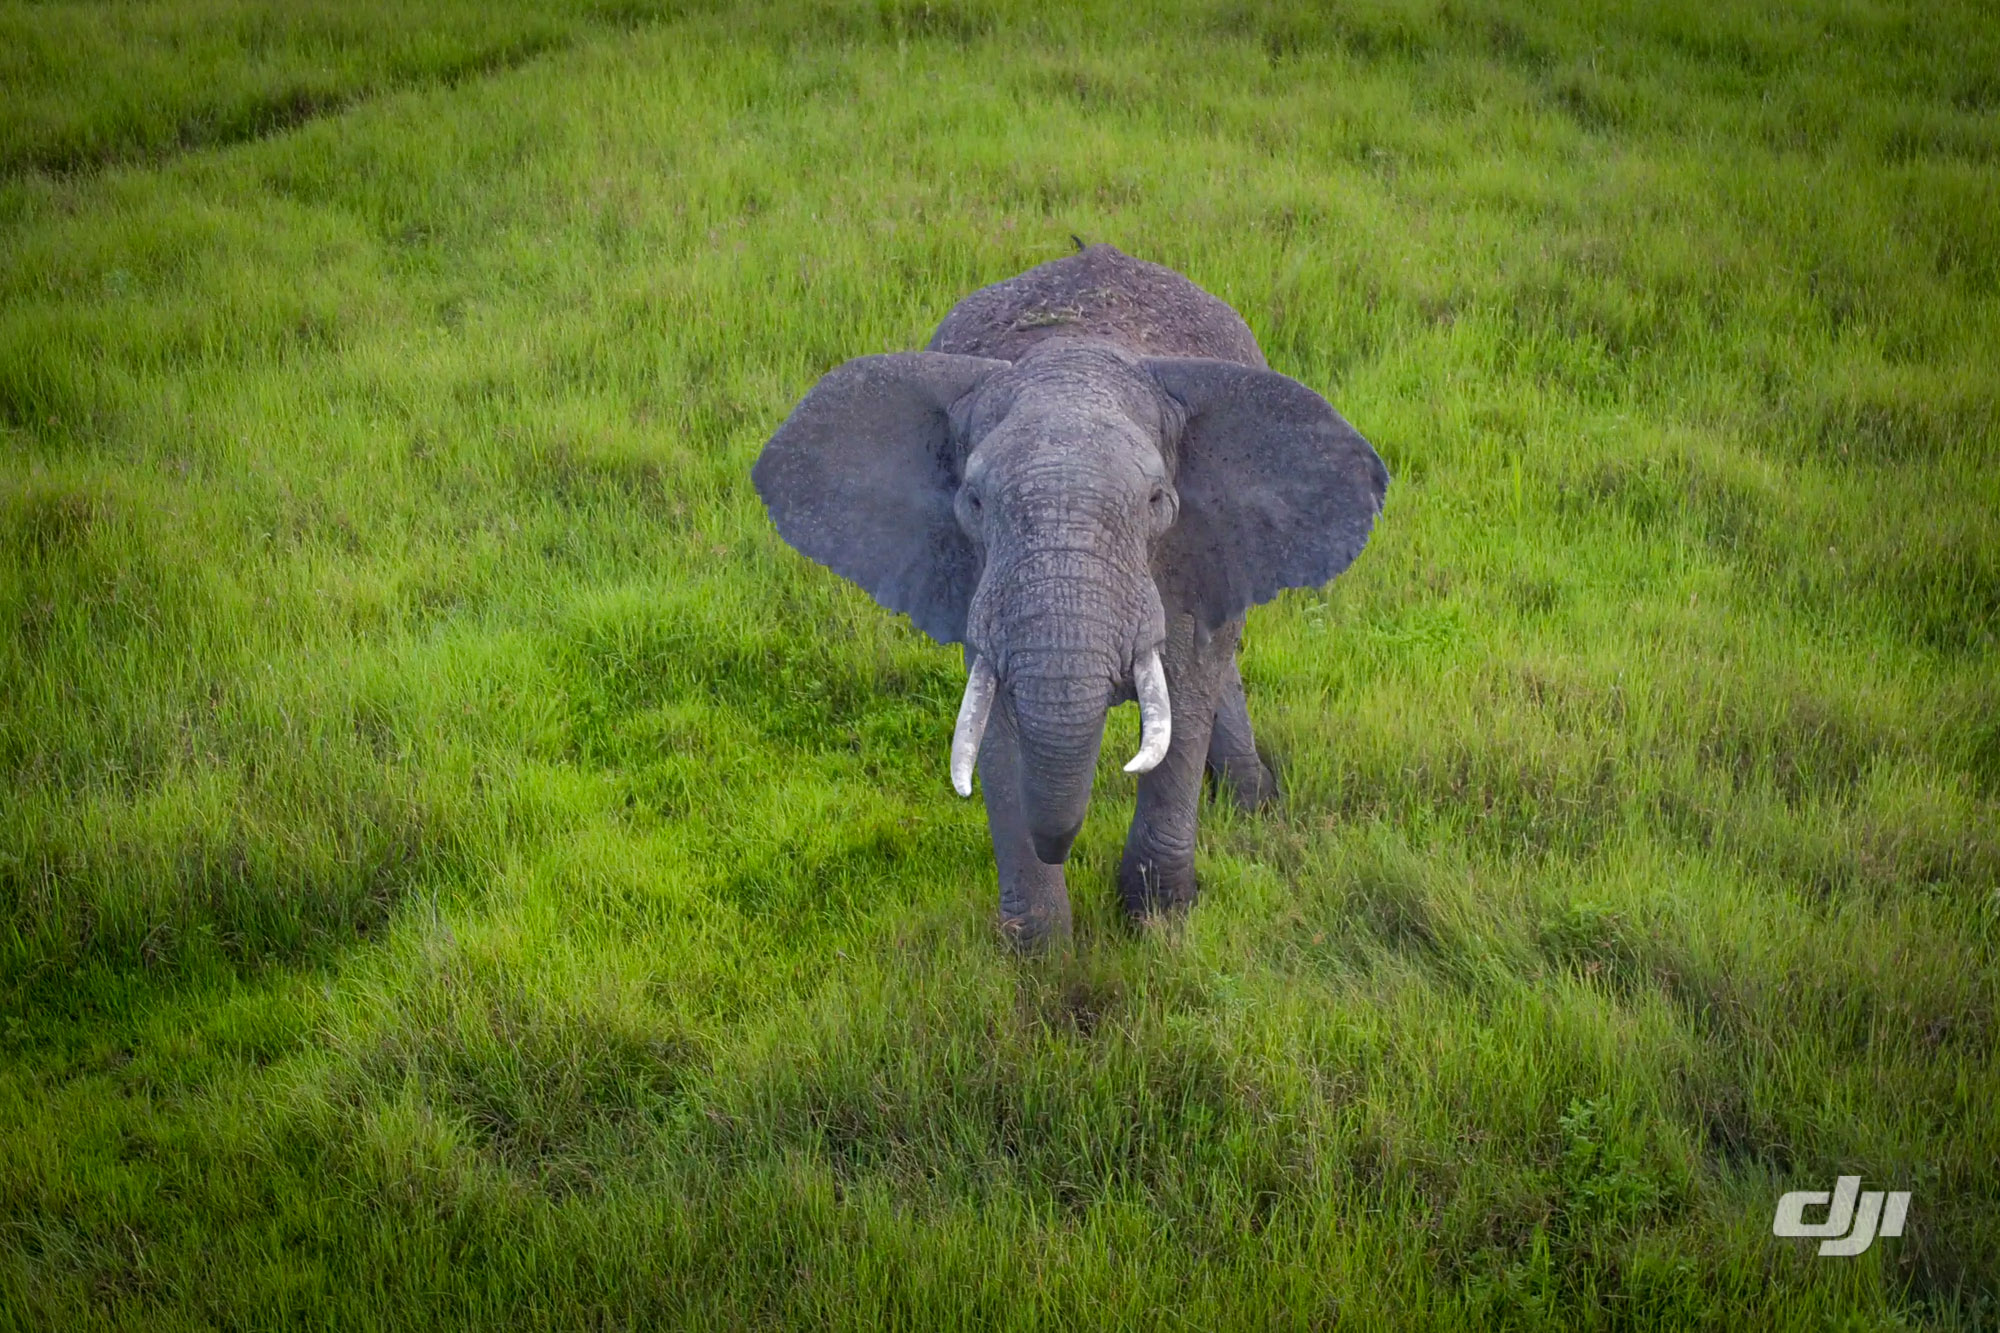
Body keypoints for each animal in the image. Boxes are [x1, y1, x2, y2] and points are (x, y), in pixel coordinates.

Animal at [752, 241, 1392, 944]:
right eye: (973, 502)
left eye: (1156, 501)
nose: (1060, 846)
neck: (1074, 353)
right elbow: (995, 727)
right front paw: (1042, 954)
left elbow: (1186, 697)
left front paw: (1159, 925)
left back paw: (1253, 804)